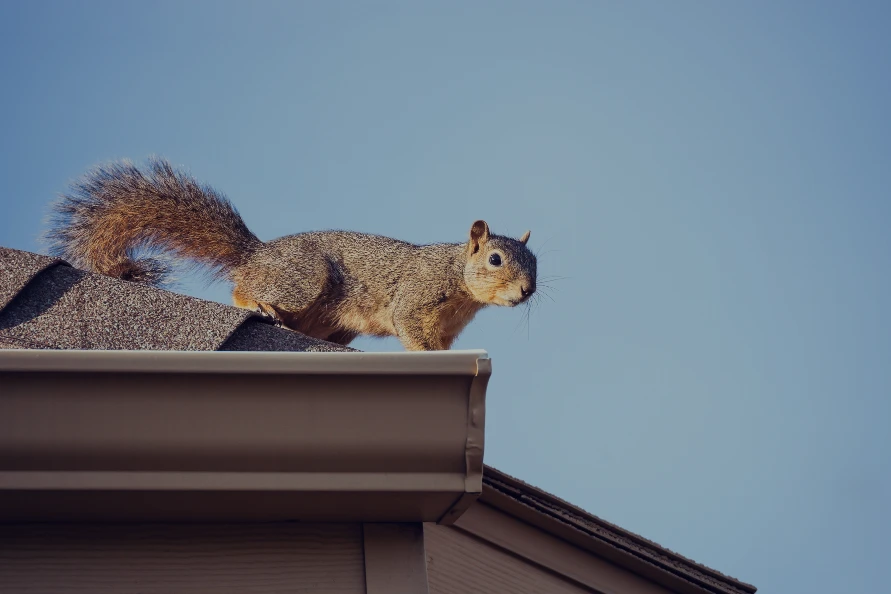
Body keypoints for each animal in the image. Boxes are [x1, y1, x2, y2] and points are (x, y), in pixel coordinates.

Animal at [46, 158, 538, 351]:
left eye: (536, 263)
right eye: (495, 259)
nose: (527, 291)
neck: (459, 280)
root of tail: (258, 254)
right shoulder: (416, 297)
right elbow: (411, 329)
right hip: (303, 279)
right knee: (242, 288)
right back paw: (259, 304)